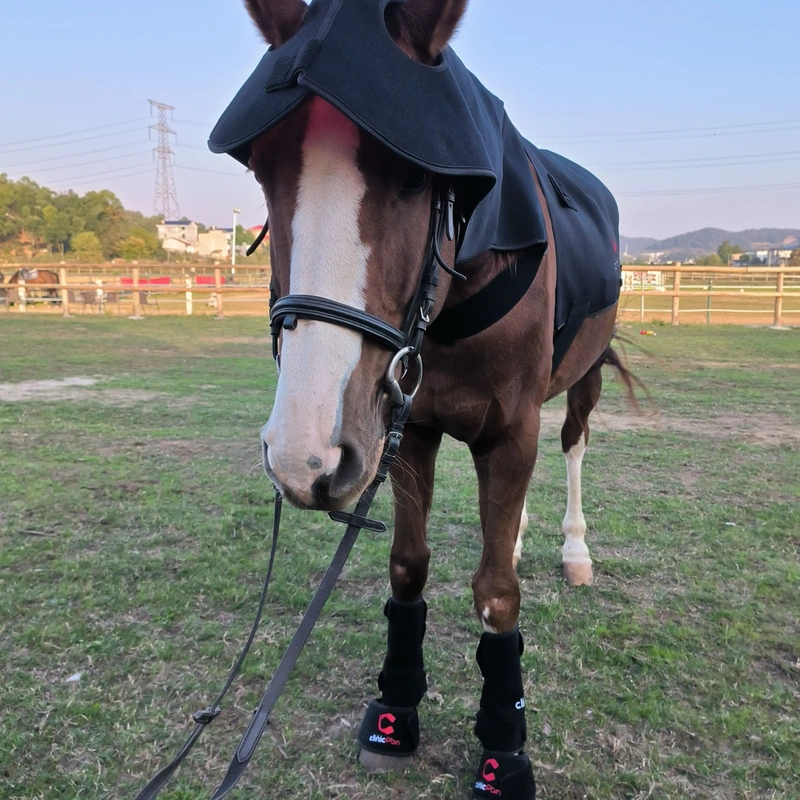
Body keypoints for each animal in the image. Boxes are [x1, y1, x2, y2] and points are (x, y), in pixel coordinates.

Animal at [204, 1, 638, 797]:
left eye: (414, 182)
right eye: (266, 174)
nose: (303, 455)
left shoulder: (510, 431)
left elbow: (497, 593)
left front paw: (504, 746)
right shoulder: (408, 424)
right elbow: (409, 564)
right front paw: (395, 708)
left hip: (582, 381)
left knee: (573, 448)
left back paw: (573, 548)